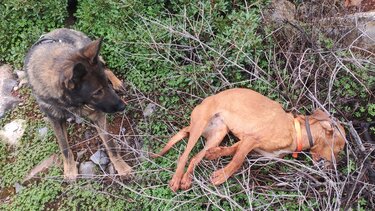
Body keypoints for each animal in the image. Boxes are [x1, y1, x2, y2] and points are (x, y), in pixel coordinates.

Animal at [24, 27, 132, 180]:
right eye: (97, 92)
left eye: (105, 86)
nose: (123, 106)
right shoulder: (55, 120)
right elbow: (64, 146)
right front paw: (70, 169)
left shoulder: (98, 115)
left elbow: (110, 144)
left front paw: (121, 166)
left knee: (106, 68)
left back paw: (117, 83)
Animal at [153, 87, 346, 191]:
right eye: (339, 149)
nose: (336, 169)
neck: (295, 131)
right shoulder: (251, 139)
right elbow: (237, 160)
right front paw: (222, 175)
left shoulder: (250, 145)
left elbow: (231, 150)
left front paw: (215, 154)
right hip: (199, 125)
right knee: (184, 155)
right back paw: (176, 179)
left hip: (218, 133)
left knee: (195, 157)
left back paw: (187, 178)